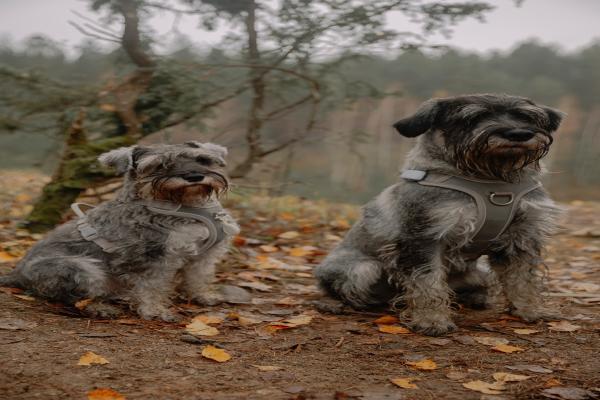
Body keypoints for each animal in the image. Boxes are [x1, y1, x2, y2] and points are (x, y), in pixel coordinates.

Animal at [0, 141, 239, 322]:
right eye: (159, 165)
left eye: (202, 160)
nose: (194, 176)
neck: (190, 206)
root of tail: (17, 274)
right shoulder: (153, 258)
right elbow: (151, 286)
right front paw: (155, 311)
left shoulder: (204, 256)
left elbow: (199, 277)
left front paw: (203, 296)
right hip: (82, 269)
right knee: (76, 298)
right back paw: (100, 308)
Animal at [316, 93, 564, 334]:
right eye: (473, 118)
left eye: (526, 117)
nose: (518, 134)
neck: (490, 179)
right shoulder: (425, 237)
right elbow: (428, 283)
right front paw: (431, 320)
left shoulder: (521, 237)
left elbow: (522, 278)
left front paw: (529, 310)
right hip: (365, 269)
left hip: (479, 272)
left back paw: (475, 298)